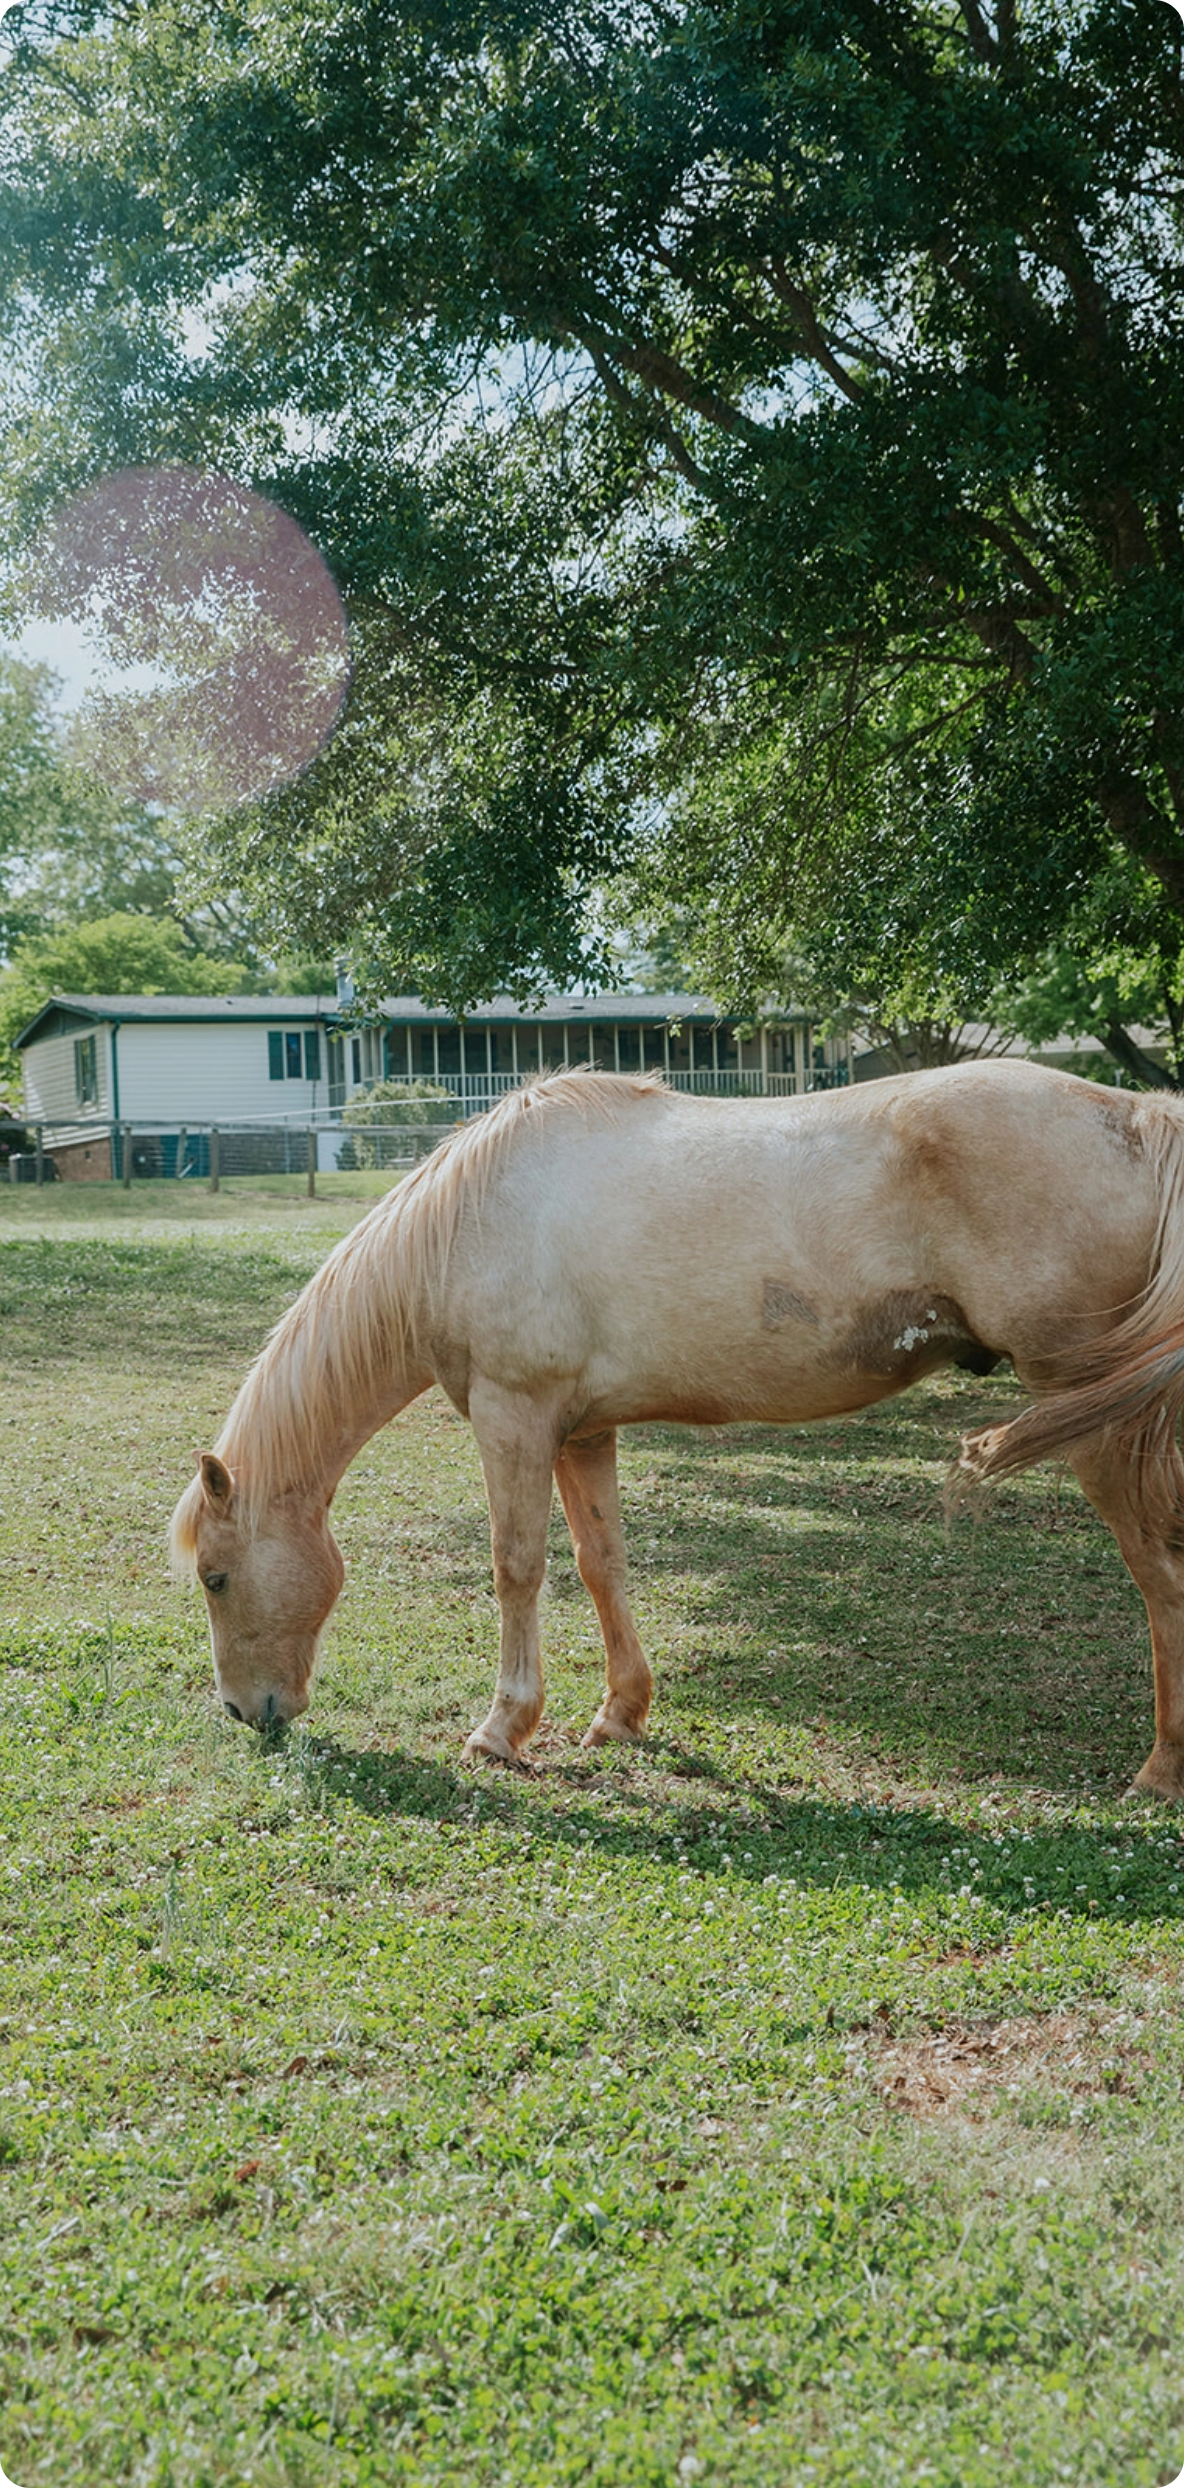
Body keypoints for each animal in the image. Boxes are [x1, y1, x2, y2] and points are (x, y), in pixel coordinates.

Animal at [169, 1060, 1184, 1800]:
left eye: (216, 1577)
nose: (245, 1713)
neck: (474, 1218)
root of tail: (1141, 1119)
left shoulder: (514, 1417)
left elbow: (516, 1566)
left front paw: (501, 1730)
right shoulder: (580, 1433)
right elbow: (600, 1563)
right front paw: (620, 1714)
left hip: (1097, 1425)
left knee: (1158, 1574)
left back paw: (1159, 1772)